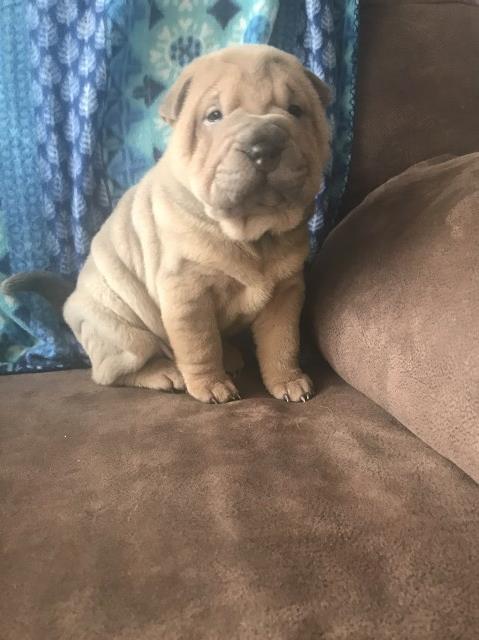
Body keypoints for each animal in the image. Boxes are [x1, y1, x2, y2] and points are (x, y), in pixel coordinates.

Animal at [0, 43, 330, 404]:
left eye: (295, 110)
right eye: (214, 116)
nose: (264, 145)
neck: (250, 232)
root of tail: (70, 299)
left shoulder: (286, 292)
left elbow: (282, 342)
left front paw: (288, 380)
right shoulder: (187, 293)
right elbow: (200, 344)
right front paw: (210, 385)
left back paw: (229, 357)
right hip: (122, 332)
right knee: (116, 370)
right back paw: (167, 373)